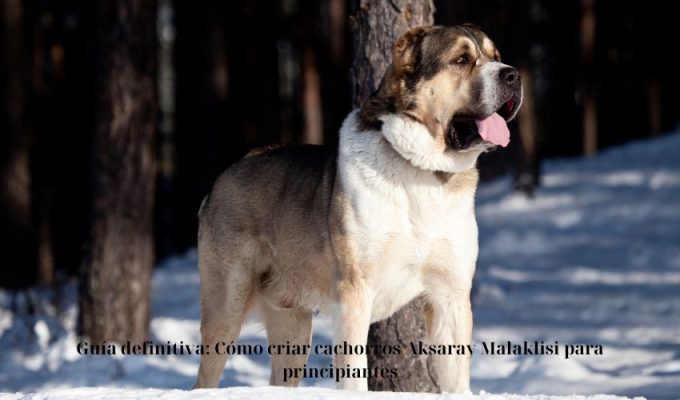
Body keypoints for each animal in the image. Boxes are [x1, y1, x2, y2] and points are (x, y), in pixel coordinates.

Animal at [194, 23, 524, 392]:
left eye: (496, 57)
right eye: (461, 59)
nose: (513, 75)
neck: (422, 171)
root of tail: (224, 175)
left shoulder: (450, 295)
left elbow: (455, 376)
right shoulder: (355, 291)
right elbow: (354, 370)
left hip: (292, 325)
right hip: (226, 303)